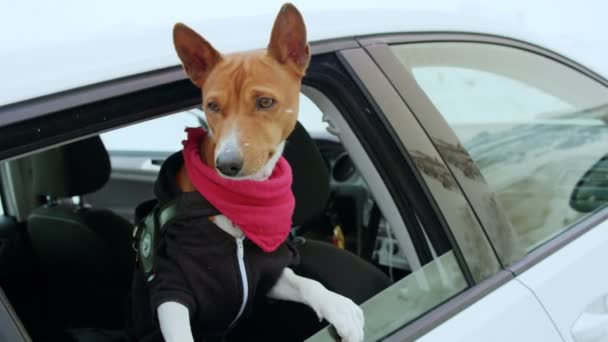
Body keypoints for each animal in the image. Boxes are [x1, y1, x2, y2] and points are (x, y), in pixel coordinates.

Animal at [159, 3, 364, 342]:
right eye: (212, 106)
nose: (227, 164)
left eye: (265, 102)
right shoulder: (170, 290)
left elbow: (306, 282)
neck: (242, 205)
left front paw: (338, 306)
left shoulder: (269, 274)